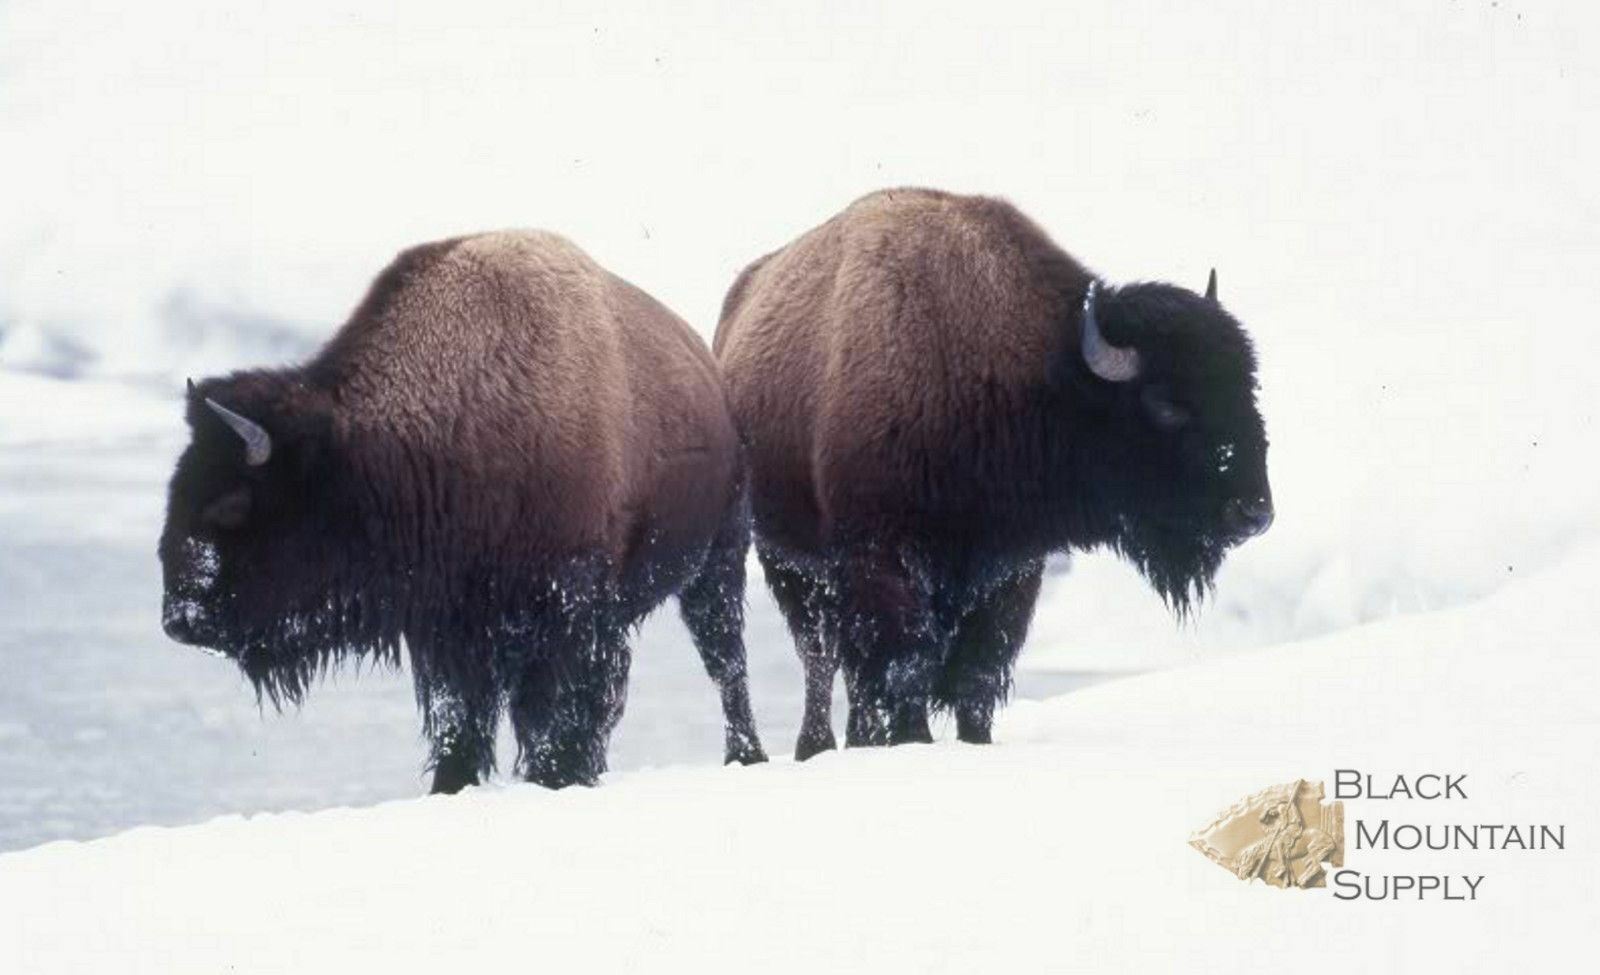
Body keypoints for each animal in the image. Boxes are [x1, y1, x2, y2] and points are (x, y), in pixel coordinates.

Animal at [161, 230, 767, 790]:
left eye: (232, 503)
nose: (178, 620)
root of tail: (712, 376)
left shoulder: (568, 614)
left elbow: (556, 713)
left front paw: (553, 775)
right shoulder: (451, 629)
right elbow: (463, 722)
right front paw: (453, 785)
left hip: (718, 563)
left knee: (726, 664)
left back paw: (746, 755)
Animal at [715, 188, 1273, 759]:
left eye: (1249, 387)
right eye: (1166, 404)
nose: (1254, 512)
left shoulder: (1010, 569)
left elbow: (978, 673)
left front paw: (973, 743)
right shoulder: (885, 562)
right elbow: (904, 668)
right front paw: (912, 741)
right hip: (788, 560)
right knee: (820, 656)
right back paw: (816, 746)